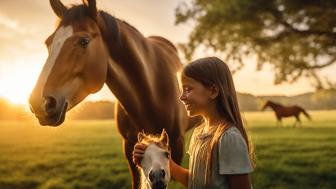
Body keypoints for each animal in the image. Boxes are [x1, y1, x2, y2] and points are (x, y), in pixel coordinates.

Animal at [28, 0, 200, 188]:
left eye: (84, 41)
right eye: (48, 42)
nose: (39, 103)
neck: (151, 93)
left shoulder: (175, 144)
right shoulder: (130, 146)